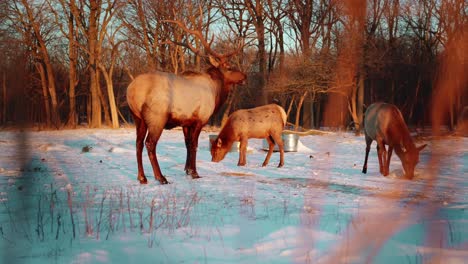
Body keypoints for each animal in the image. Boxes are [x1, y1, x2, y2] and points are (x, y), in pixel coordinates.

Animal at [126, 21, 247, 185]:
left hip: (138, 117)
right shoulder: (200, 119)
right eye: (228, 66)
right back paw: (161, 177)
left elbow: (187, 144)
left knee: (138, 143)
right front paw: (194, 172)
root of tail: (132, 91)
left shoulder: (185, 122)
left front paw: (187, 170)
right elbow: (194, 144)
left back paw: (142, 177)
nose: (244, 76)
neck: (216, 92)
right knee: (150, 143)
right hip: (157, 117)